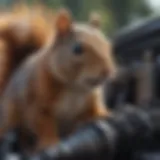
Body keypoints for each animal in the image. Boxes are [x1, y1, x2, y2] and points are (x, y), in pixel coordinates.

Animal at [0, 8, 117, 152]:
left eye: (107, 45)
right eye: (77, 49)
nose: (107, 71)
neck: (75, 88)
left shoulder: (91, 100)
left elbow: (92, 111)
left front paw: (104, 114)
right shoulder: (37, 104)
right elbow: (44, 124)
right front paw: (49, 142)